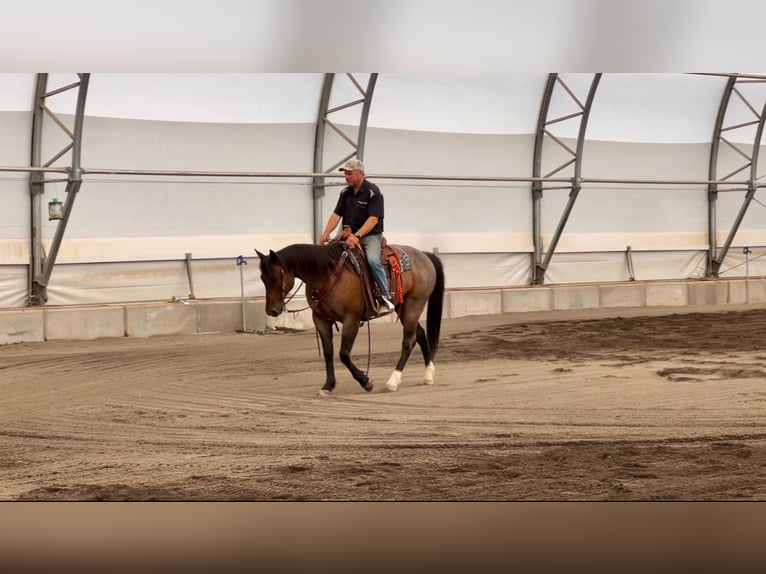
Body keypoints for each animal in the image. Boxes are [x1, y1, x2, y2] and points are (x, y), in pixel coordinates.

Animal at [256, 241, 445, 396]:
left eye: (275, 277)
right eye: (262, 278)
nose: (271, 310)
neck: (326, 274)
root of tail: (424, 255)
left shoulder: (351, 319)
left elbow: (344, 354)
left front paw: (366, 381)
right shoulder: (320, 320)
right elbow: (328, 352)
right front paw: (328, 386)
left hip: (415, 304)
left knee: (409, 341)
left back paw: (393, 381)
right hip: (402, 307)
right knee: (420, 334)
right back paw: (428, 374)